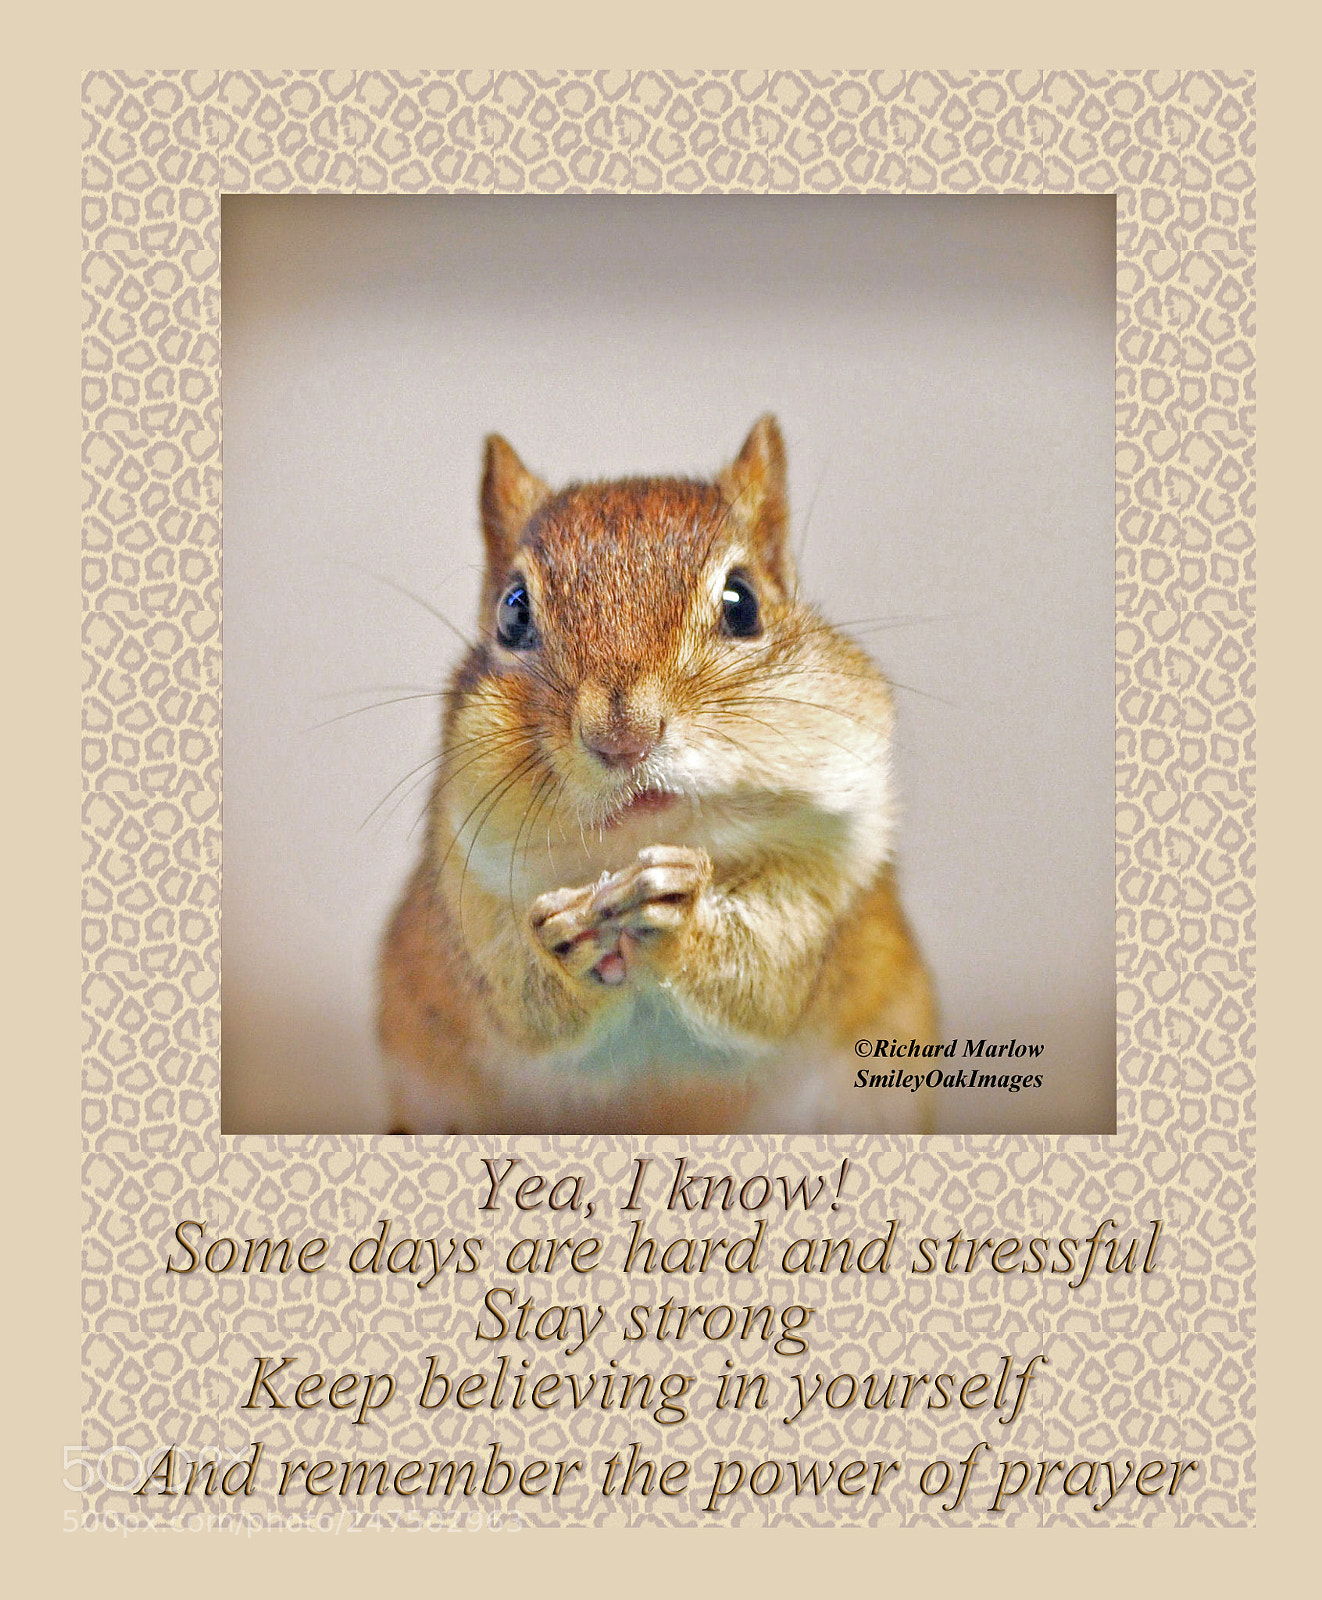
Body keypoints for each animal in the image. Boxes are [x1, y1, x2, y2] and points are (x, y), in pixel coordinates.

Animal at [378, 417, 937, 1134]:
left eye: (743, 602)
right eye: (512, 612)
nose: (622, 737)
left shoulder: (832, 883)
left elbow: (767, 977)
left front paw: (681, 912)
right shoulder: (466, 901)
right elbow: (521, 1004)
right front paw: (559, 945)